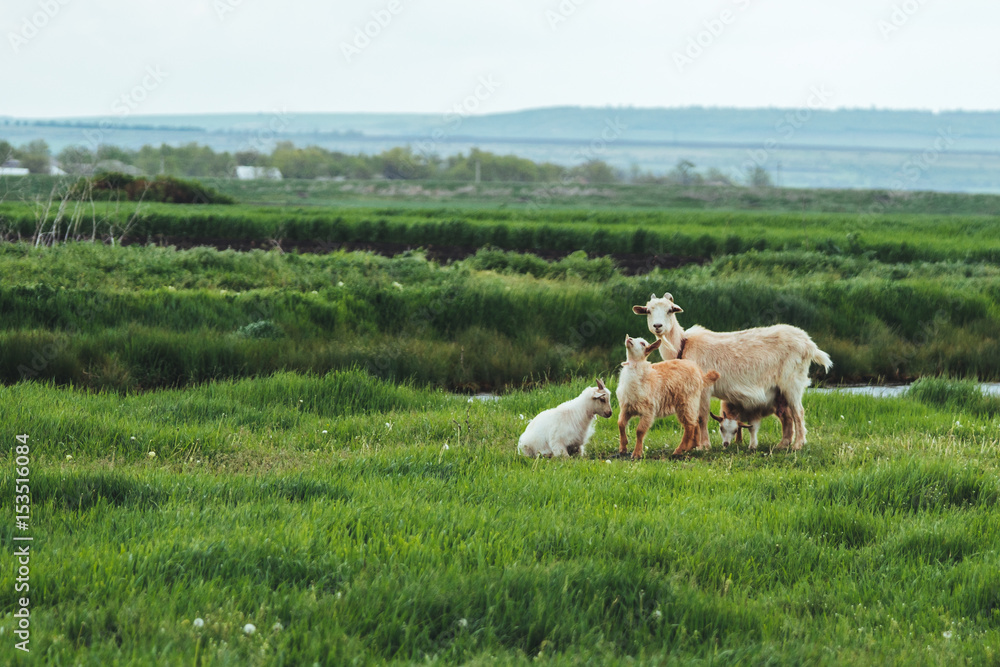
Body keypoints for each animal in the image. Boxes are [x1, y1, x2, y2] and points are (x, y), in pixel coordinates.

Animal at [633, 292, 832, 450]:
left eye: (670, 310)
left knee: (798, 412)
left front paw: (704, 446)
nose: (658, 326)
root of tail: (809, 344)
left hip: (792, 381)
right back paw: (783, 444)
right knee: (787, 415)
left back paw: (798, 444)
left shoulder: (705, 387)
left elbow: (701, 416)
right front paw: (695, 445)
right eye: (648, 311)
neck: (683, 345)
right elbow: (694, 416)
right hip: (779, 390)